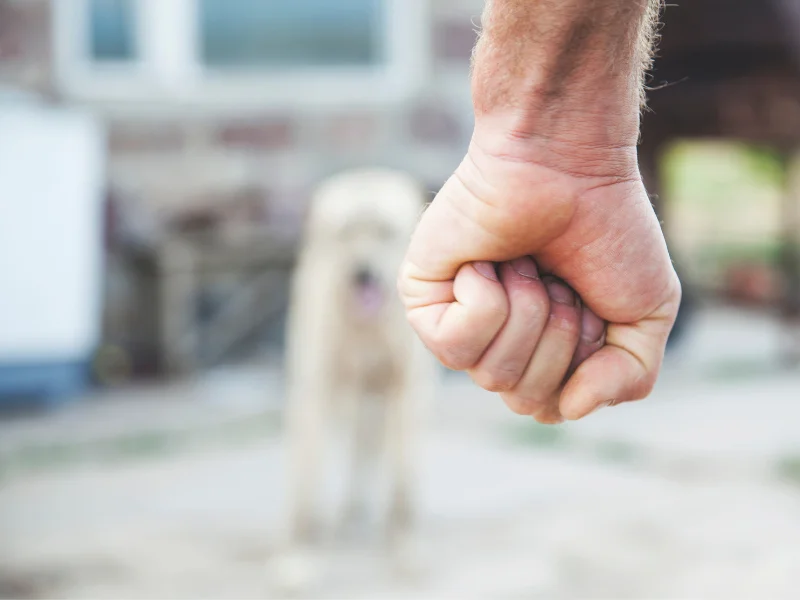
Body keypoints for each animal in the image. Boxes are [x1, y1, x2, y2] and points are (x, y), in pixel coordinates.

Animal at [276, 166, 434, 588]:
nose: (362, 273)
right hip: (344, 395)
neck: (367, 330)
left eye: (383, 232)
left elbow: (403, 485)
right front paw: (300, 557)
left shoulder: (404, 391)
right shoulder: (314, 390)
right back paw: (348, 514)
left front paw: (406, 548)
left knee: (371, 449)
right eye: (346, 234)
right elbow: (306, 484)